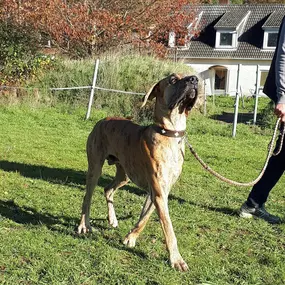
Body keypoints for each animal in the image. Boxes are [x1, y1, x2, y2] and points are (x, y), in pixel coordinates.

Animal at [77, 74, 197, 270]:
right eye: (172, 79)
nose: (194, 79)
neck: (170, 133)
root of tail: (102, 120)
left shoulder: (159, 191)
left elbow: (145, 217)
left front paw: (130, 237)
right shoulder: (158, 191)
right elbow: (168, 227)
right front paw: (176, 259)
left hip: (124, 174)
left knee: (108, 189)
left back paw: (112, 219)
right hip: (95, 168)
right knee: (87, 198)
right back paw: (83, 225)